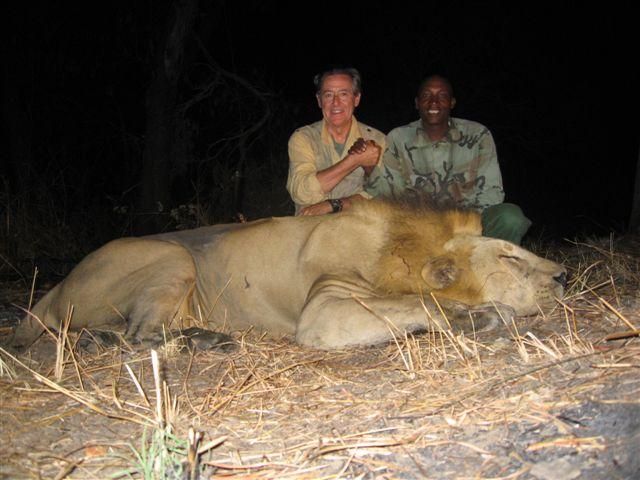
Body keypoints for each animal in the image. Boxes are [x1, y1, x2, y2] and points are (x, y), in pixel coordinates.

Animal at [8, 199, 567, 350]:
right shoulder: (322, 310)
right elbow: (422, 302)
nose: (563, 276)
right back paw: (207, 341)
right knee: (138, 335)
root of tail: (53, 287)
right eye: (511, 259)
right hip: (171, 257)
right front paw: (482, 317)